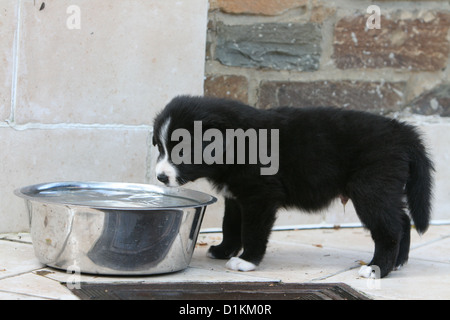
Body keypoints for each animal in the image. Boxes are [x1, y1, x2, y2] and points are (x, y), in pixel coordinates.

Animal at [153, 95, 434, 278]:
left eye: (183, 151)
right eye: (160, 147)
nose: (161, 177)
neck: (236, 144)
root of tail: (402, 132)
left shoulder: (261, 196)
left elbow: (252, 231)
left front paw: (246, 261)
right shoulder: (236, 196)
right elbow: (230, 226)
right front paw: (224, 250)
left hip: (371, 189)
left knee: (389, 229)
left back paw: (377, 269)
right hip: (386, 190)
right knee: (402, 220)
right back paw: (398, 263)